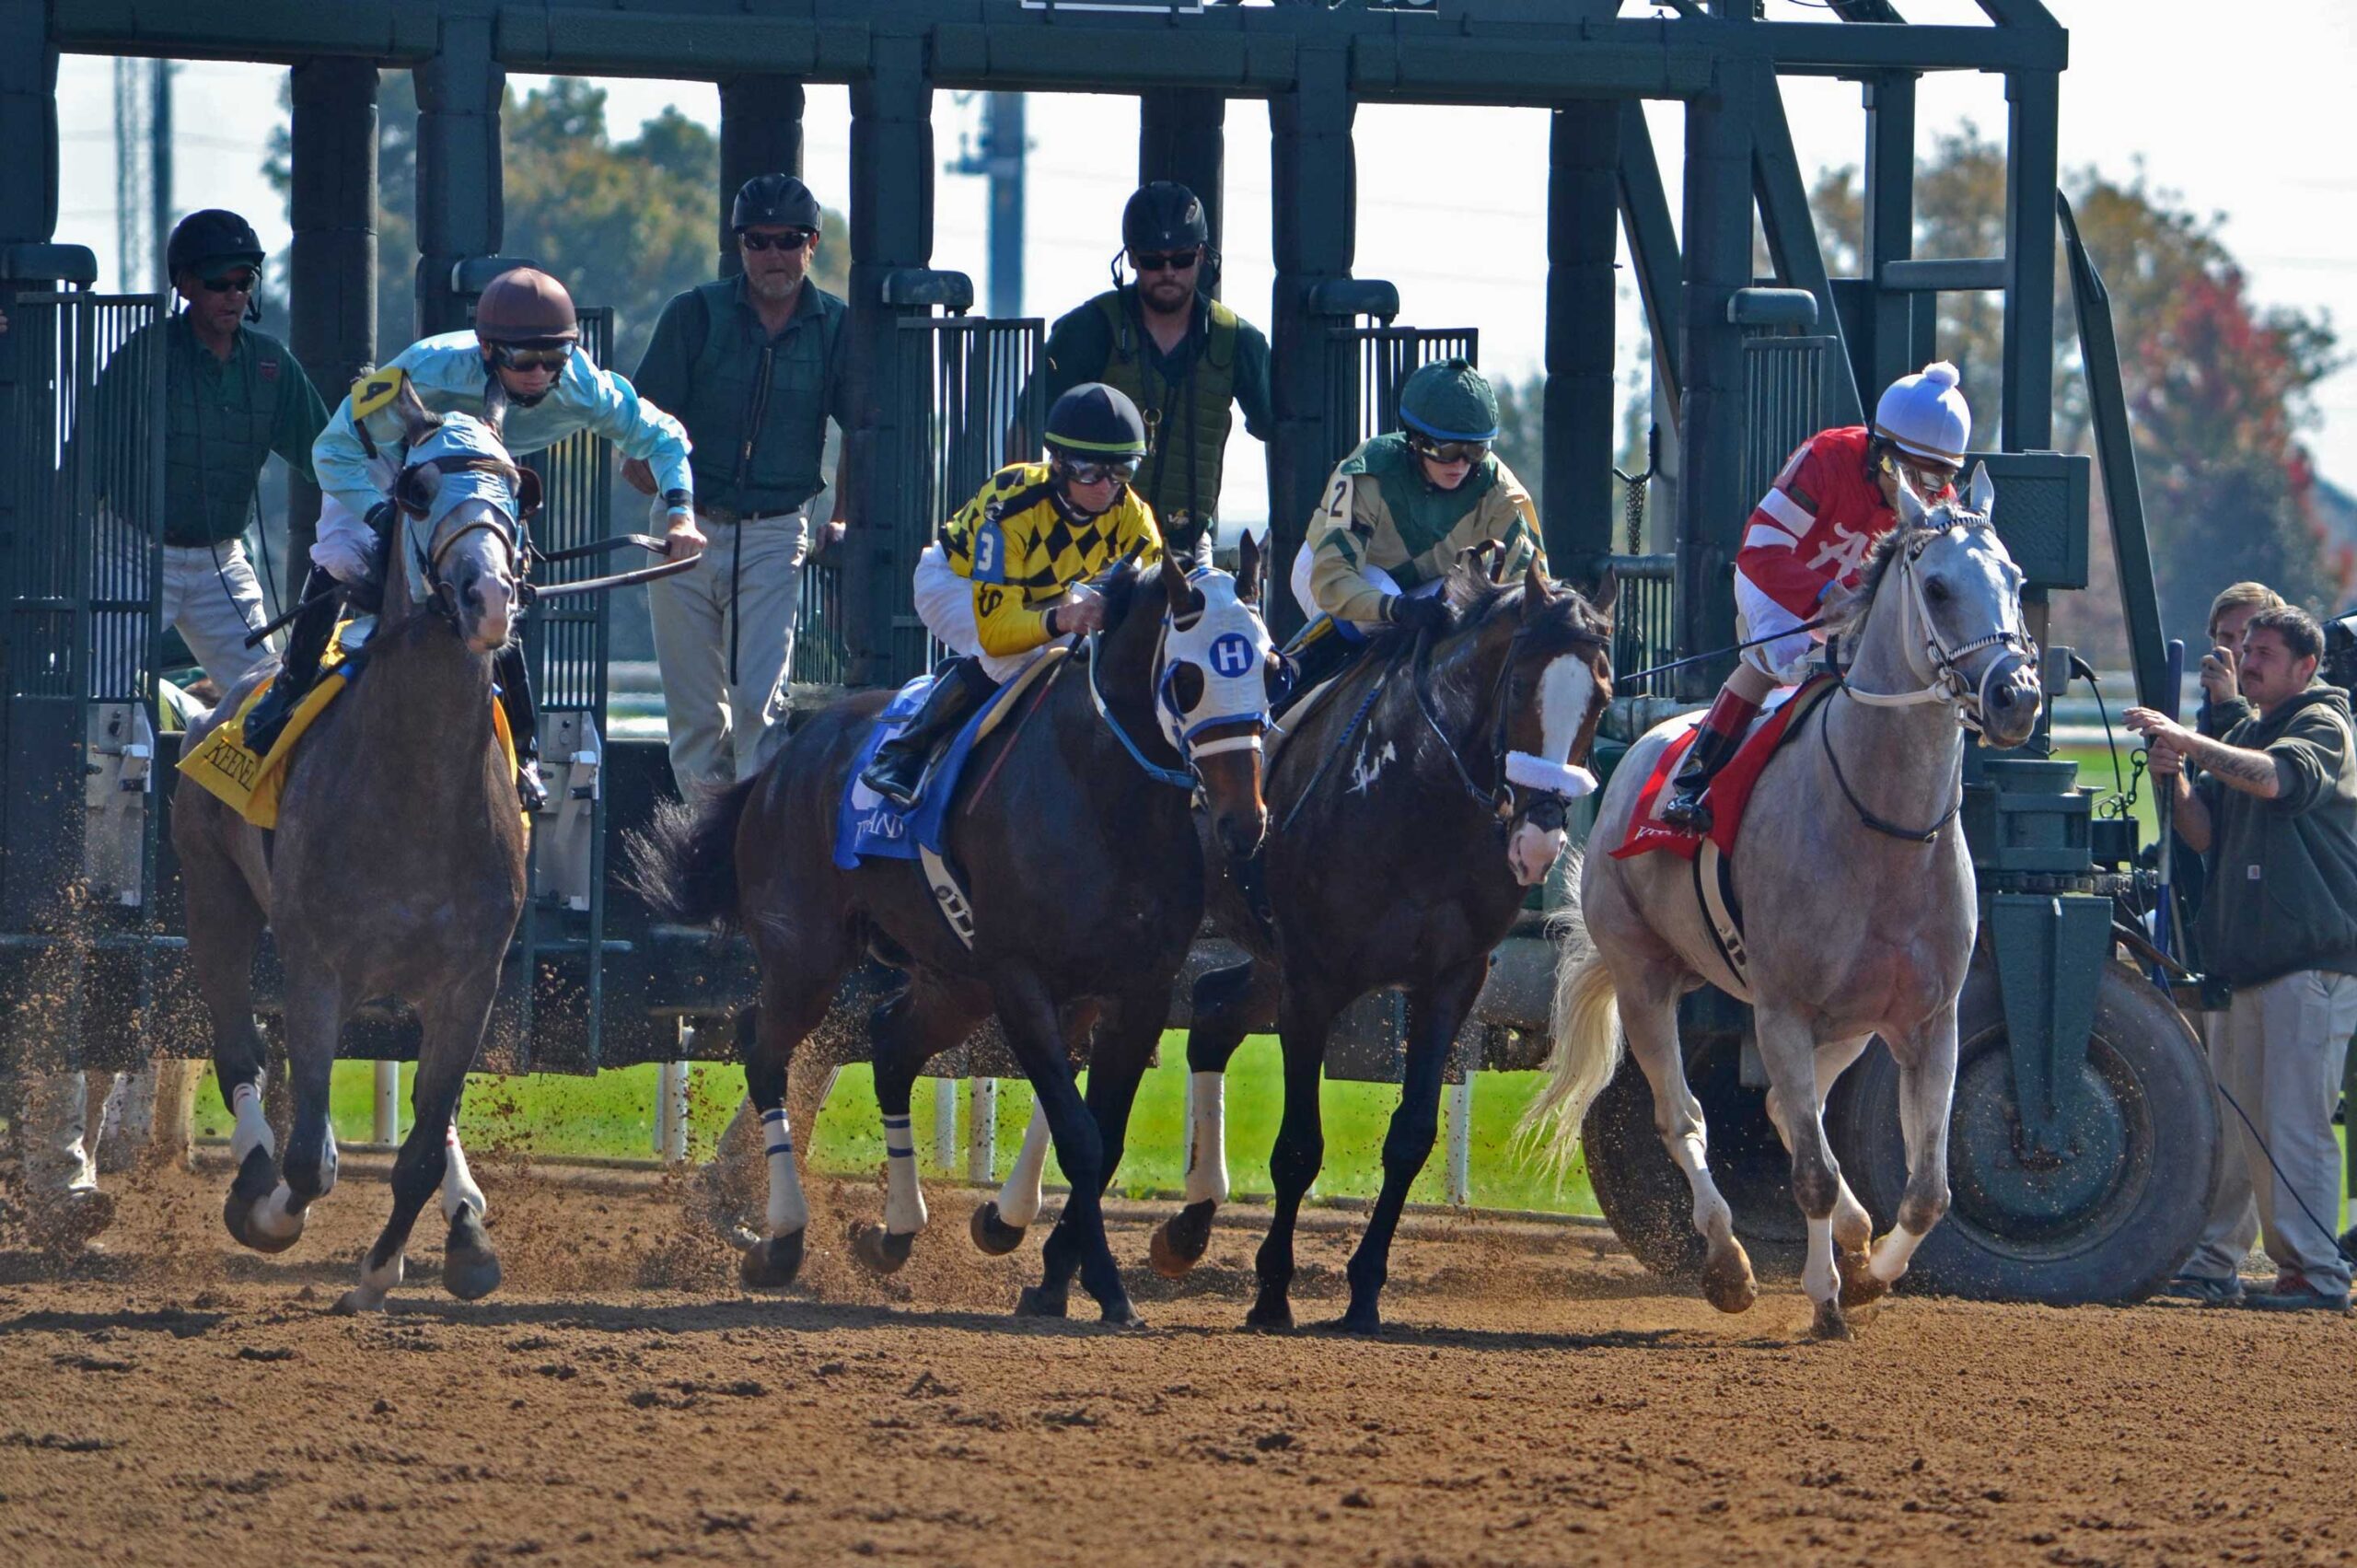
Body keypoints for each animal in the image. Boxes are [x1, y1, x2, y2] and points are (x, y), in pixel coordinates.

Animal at [171, 391, 532, 1310]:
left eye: (518, 486)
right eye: (415, 490)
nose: (487, 595)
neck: (415, 786)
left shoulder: (469, 981)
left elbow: (420, 1148)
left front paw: (379, 1270)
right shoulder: (317, 966)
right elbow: (311, 1159)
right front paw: (269, 1210)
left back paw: (466, 1231)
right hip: (213, 895)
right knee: (241, 1050)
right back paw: (252, 1176)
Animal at [632, 537, 1272, 1320]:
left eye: (1272, 668)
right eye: (1186, 679)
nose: (1244, 822)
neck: (1102, 795)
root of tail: (781, 763)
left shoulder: (1139, 989)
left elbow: (1105, 1135)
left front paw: (1058, 1269)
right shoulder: (1022, 980)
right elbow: (1082, 1138)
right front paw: (1102, 1285)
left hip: (954, 981)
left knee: (888, 1044)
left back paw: (893, 1233)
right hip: (807, 953)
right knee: (765, 1048)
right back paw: (781, 1241)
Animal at [1141, 556, 1621, 1330]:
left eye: (1600, 698)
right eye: (1520, 685)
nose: (1537, 841)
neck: (1416, 798)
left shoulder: (1450, 980)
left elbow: (1412, 1135)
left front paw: (1364, 1289)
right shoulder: (1314, 979)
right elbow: (1298, 1146)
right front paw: (1272, 1291)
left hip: (1269, 961)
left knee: (1212, 1010)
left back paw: (1189, 1225)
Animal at [1527, 464, 2046, 1330]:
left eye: (2016, 579)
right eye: (1938, 587)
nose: (2018, 696)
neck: (1885, 827)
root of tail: (1639, 743)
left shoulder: (1928, 1019)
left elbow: (1928, 1190)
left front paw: (1872, 1271)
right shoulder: (1782, 1011)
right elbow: (1809, 1172)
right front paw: (1825, 1295)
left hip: (1851, 1026)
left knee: (1780, 1112)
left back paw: (1854, 1235)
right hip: (1645, 976)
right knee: (1686, 1117)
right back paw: (1728, 1263)